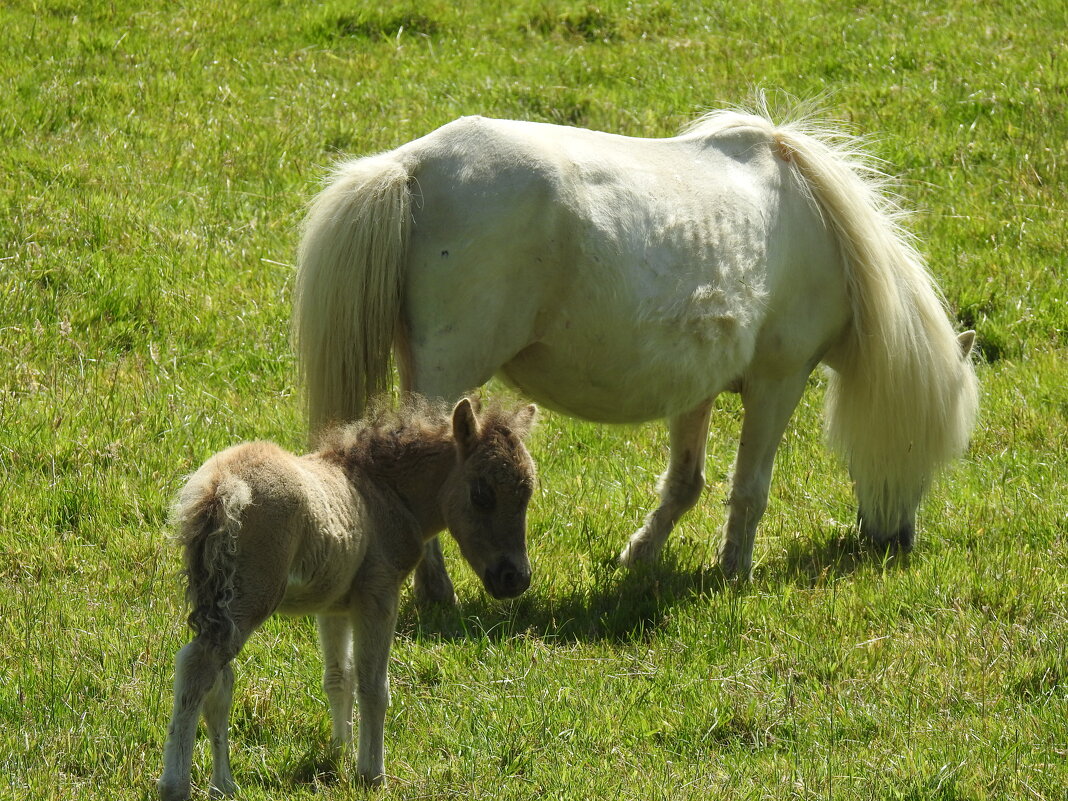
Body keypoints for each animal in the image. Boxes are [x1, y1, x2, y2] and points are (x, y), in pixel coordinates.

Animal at [292, 100, 978, 602]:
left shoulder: (697, 386)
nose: (897, 542)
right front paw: (734, 573)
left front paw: (639, 556)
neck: (821, 225)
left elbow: (686, 483)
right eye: (924, 443)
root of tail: (410, 166)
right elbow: (749, 487)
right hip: (447, 379)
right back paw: (441, 597)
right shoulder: (777, 382)